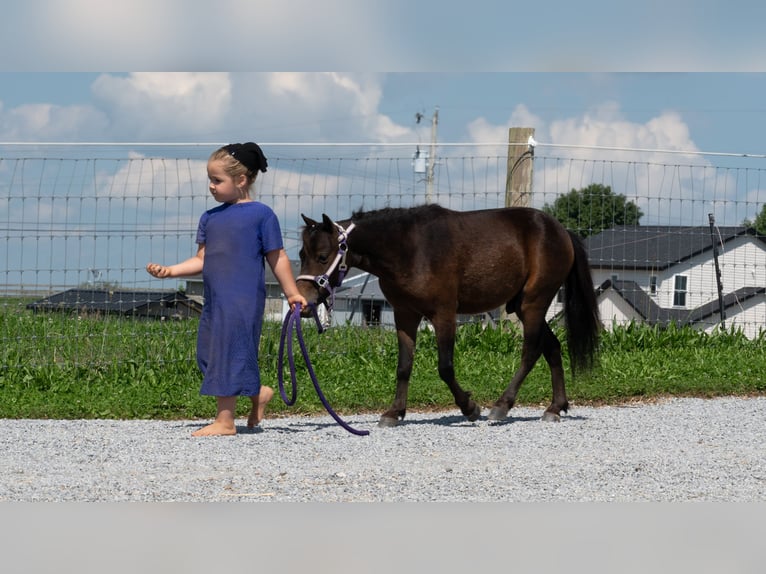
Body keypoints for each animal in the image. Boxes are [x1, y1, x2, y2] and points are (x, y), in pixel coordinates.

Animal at [297, 204, 600, 427]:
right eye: (301, 254)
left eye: (323, 256)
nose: (304, 302)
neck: (409, 248)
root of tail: (561, 231)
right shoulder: (405, 315)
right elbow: (403, 366)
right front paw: (394, 413)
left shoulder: (443, 314)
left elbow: (445, 367)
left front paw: (470, 408)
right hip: (521, 306)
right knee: (553, 348)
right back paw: (555, 407)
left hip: (533, 303)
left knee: (531, 351)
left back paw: (501, 406)